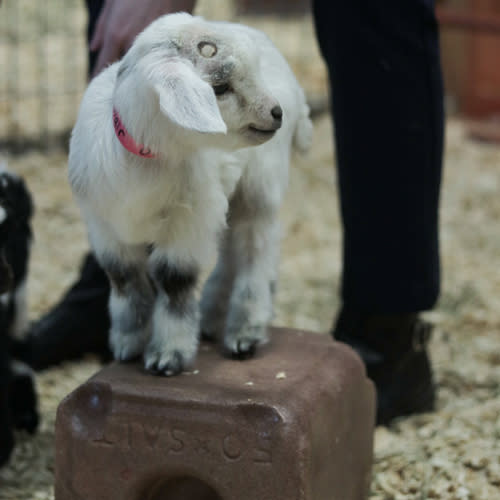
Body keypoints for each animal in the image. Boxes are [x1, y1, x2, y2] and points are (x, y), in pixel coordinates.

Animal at [69, 12, 312, 376]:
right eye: (220, 88)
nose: (275, 113)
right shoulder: (103, 226)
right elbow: (123, 278)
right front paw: (128, 341)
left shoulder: (186, 224)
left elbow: (174, 280)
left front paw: (167, 354)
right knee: (231, 251)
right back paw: (212, 317)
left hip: (259, 186)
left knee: (256, 248)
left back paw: (245, 330)